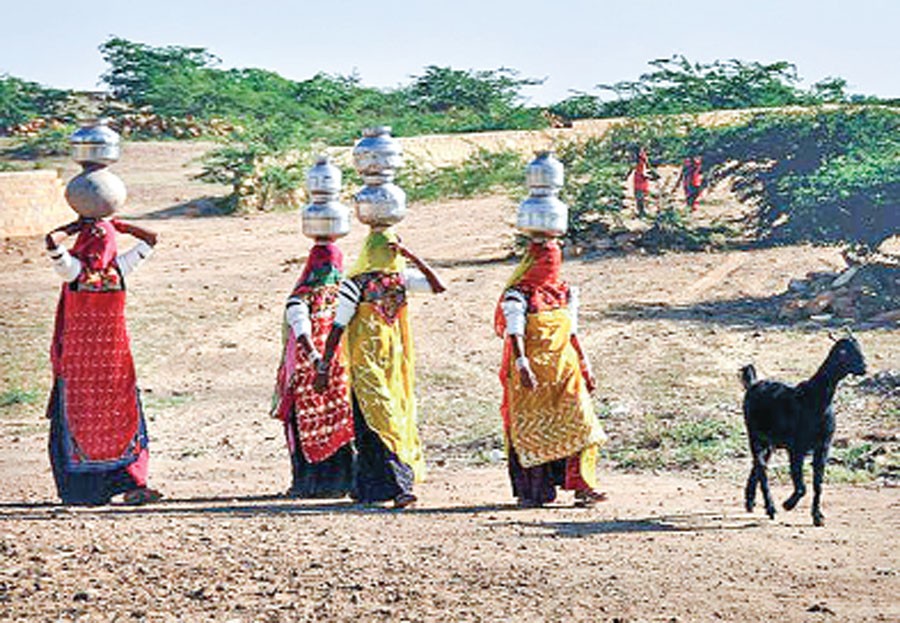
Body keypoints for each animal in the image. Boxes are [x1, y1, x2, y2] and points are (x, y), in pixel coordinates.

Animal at [740, 336, 864, 528]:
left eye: (859, 348)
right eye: (845, 352)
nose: (864, 367)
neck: (817, 400)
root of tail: (753, 384)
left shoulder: (823, 446)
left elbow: (818, 484)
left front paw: (818, 516)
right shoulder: (797, 448)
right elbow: (801, 486)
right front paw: (788, 504)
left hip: (769, 442)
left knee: (758, 465)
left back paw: (750, 502)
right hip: (754, 436)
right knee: (761, 467)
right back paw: (771, 508)